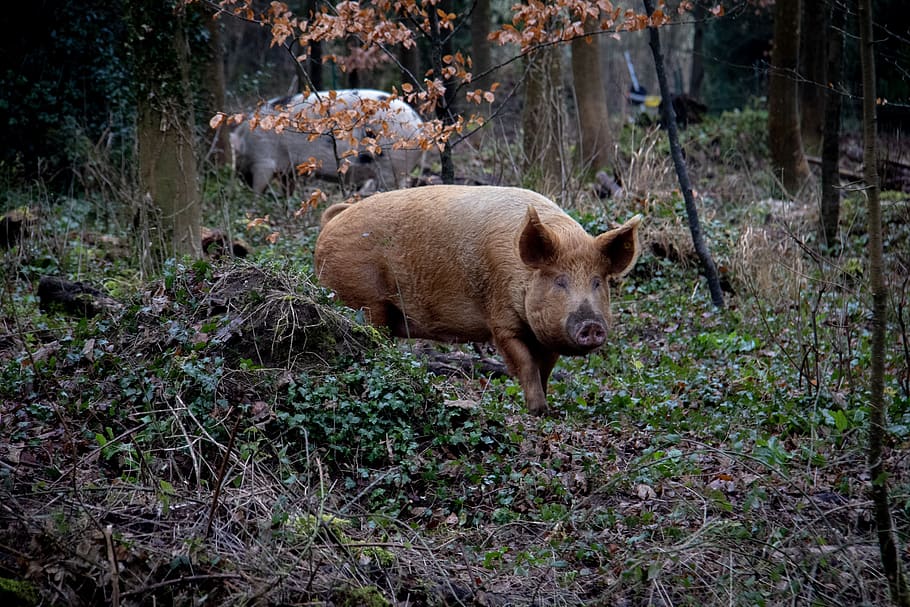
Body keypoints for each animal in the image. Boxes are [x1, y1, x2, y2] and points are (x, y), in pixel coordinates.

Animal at [230, 89, 424, 194]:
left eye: (235, 156)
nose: (239, 178)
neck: (245, 140)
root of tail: (419, 125)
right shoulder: (288, 170)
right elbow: (287, 190)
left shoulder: (263, 159)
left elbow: (259, 186)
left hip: (392, 165)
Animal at [313, 185, 642, 415]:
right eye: (559, 281)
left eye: (597, 281)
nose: (590, 325)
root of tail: (331, 222)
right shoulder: (501, 321)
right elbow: (525, 364)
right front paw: (538, 411)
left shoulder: (547, 334)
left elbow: (545, 368)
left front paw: (548, 408)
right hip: (362, 300)